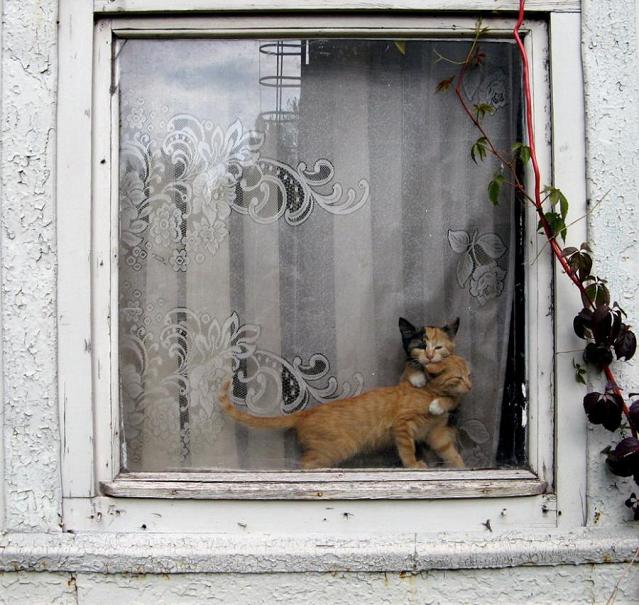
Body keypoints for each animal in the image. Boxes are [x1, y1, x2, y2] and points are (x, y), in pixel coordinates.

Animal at [219, 356, 470, 470]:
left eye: (470, 375)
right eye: (459, 377)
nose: (470, 386)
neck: (429, 393)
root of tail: (306, 413)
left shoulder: (436, 434)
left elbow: (450, 452)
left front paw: (461, 467)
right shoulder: (403, 424)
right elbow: (407, 450)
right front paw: (414, 465)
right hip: (335, 449)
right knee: (305, 463)